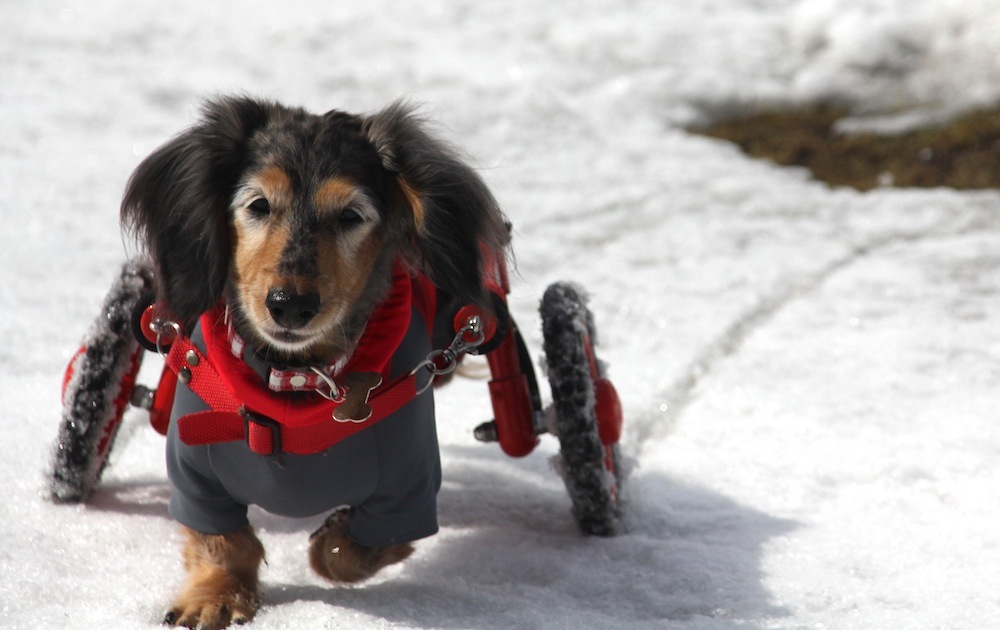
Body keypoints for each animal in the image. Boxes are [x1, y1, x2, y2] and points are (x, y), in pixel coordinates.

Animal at [123, 96, 508, 628]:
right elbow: (223, 541)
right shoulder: (195, 473)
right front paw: (215, 595)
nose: (290, 305)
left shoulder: (409, 489)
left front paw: (332, 535)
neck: (294, 377)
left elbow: (343, 555)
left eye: (351, 215)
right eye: (258, 205)